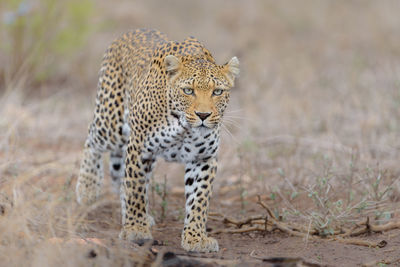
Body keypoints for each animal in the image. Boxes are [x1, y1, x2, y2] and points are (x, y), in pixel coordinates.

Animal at [76, 29, 239, 253]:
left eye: (217, 92)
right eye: (188, 91)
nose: (203, 115)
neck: (182, 126)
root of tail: (129, 32)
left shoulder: (203, 158)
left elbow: (199, 199)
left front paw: (196, 238)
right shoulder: (139, 149)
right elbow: (135, 189)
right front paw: (136, 229)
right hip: (111, 122)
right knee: (91, 138)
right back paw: (88, 188)